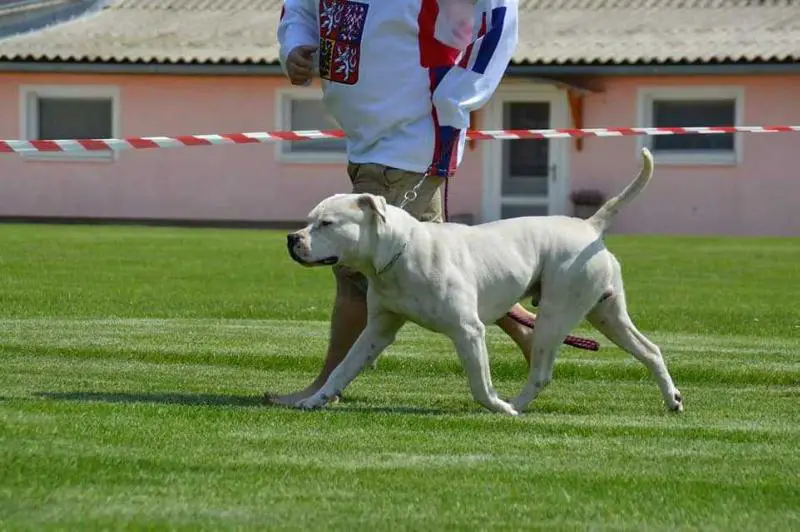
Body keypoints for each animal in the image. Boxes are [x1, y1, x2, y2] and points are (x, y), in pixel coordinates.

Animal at [288, 149, 680, 416]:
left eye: (327, 224)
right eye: (308, 221)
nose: (292, 238)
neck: (400, 251)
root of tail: (589, 226)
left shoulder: (468, 331)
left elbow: (480, 384)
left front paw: (495, 405)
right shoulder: (378, 330)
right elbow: (342, 369)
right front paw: (315, 398)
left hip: (556, 317)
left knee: (541, 372)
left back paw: (514, 406)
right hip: (608, 315)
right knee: (650, 350)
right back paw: (673, 400)